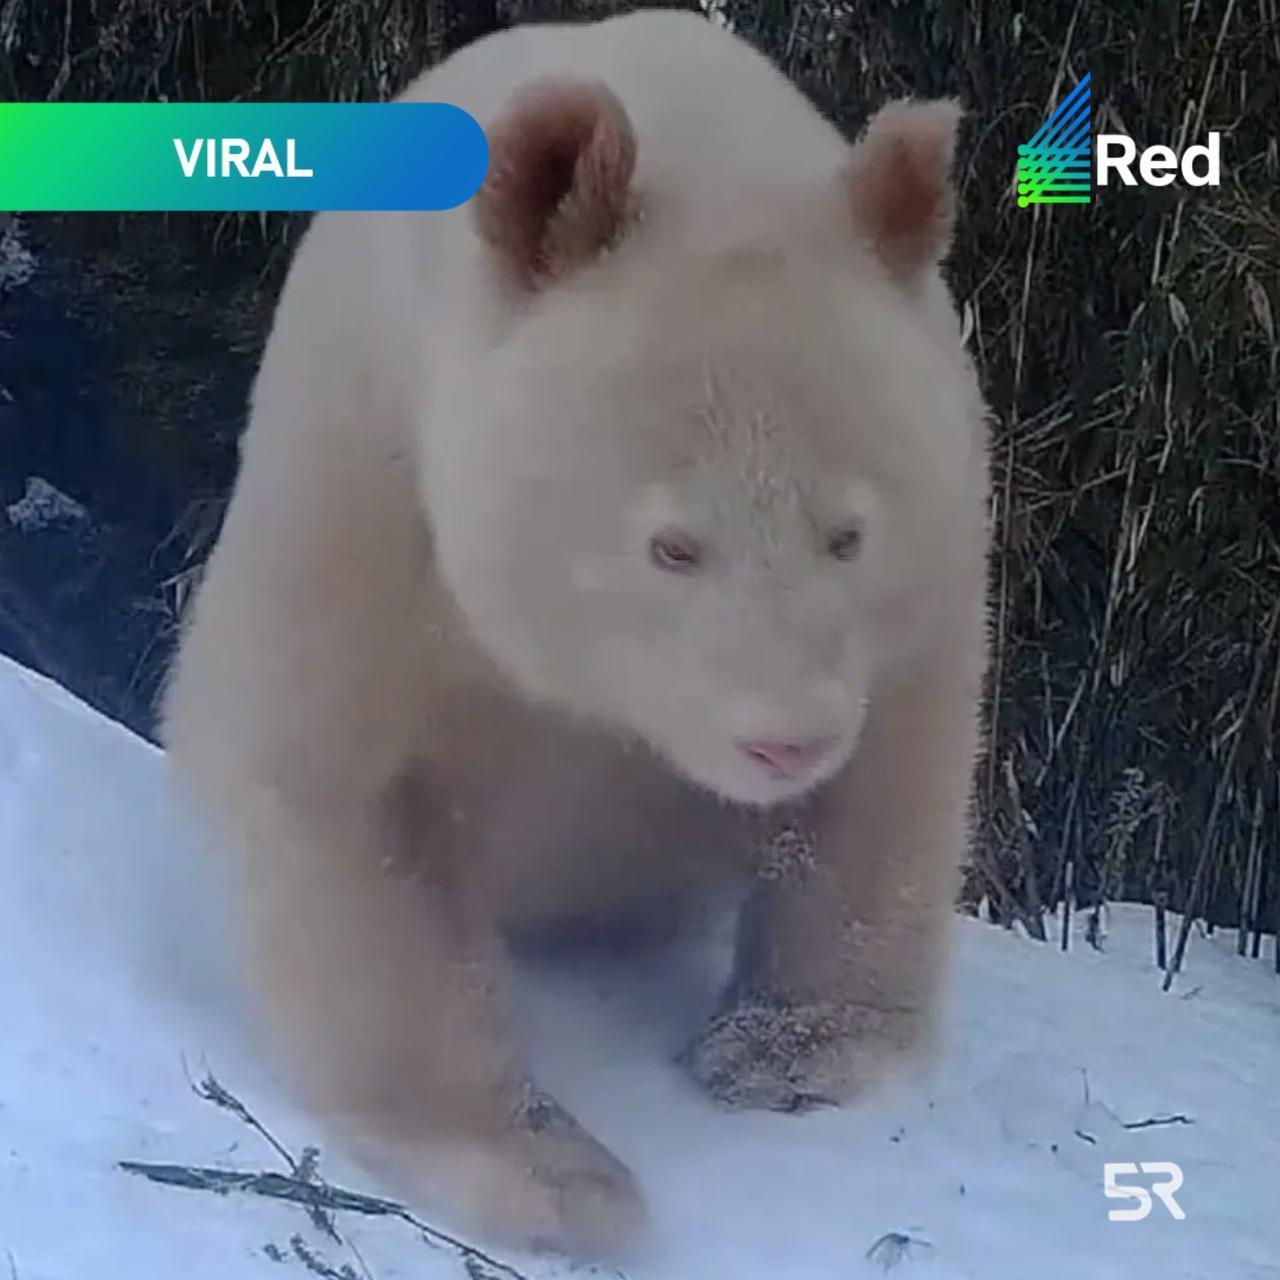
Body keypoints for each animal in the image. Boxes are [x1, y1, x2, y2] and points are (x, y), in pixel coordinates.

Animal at [161, 7, 990, 1262]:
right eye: (671, 545)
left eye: (847, 533)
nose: (783, 741)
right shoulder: (374, 471)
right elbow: (348, 793)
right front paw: (555, 1175)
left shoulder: (929, 546)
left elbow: (890, 769)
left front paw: (787, 1051)